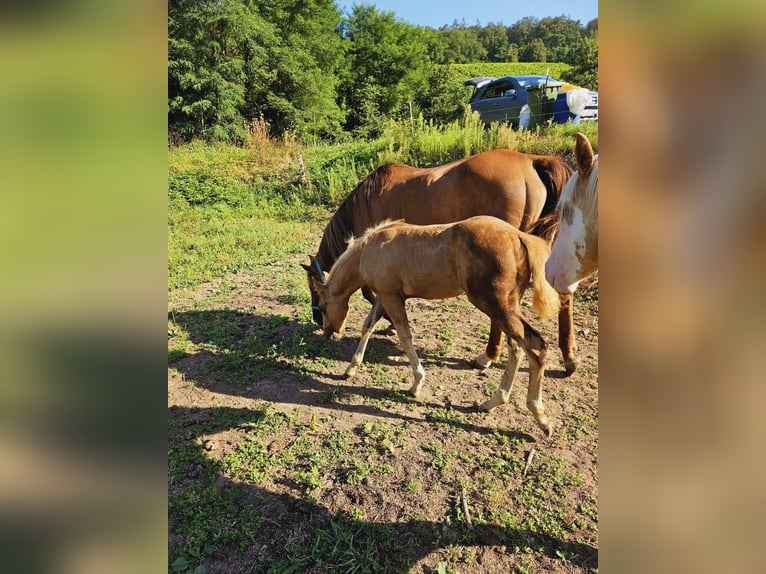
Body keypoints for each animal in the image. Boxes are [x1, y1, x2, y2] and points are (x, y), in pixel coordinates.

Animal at [306, 216, 564, 436]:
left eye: (323, 305)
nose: (330, 333)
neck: (370, 248)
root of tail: (519, 236)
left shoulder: (391, 297)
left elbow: (404, 335)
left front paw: (416, 384)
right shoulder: (384, 295)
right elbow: (367, 326)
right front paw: (351, 368)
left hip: (497, 305)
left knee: (535, 345)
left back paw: (541, 418)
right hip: (508, 306)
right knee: (517, 347)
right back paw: (493, 402)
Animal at [308, 148, 584, 376]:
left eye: (316, 295)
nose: (319, 323)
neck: (365, 200)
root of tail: (532, 160)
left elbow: (369, 295)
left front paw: (389, 324)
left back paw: (488, 355)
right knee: (563, 295)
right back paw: (569, 358)